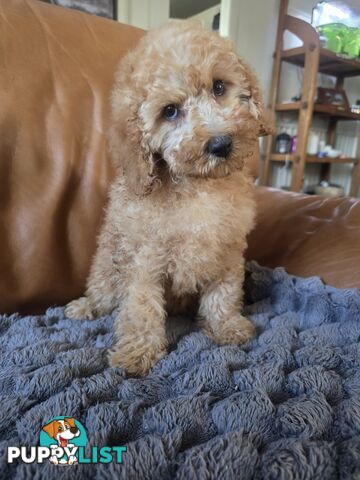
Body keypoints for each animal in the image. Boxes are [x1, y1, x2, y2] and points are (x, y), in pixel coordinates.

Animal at [66, 21, 270, 376]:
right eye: (170, 111)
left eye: (219, 87)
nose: (221, 144)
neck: (198, 186)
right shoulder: (144, 261)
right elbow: (142, 308)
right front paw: (138, 353)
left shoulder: (228, 251)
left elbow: (224, 293)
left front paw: (226, 327)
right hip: (105, 268)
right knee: (102, 295)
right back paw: (85, 307)